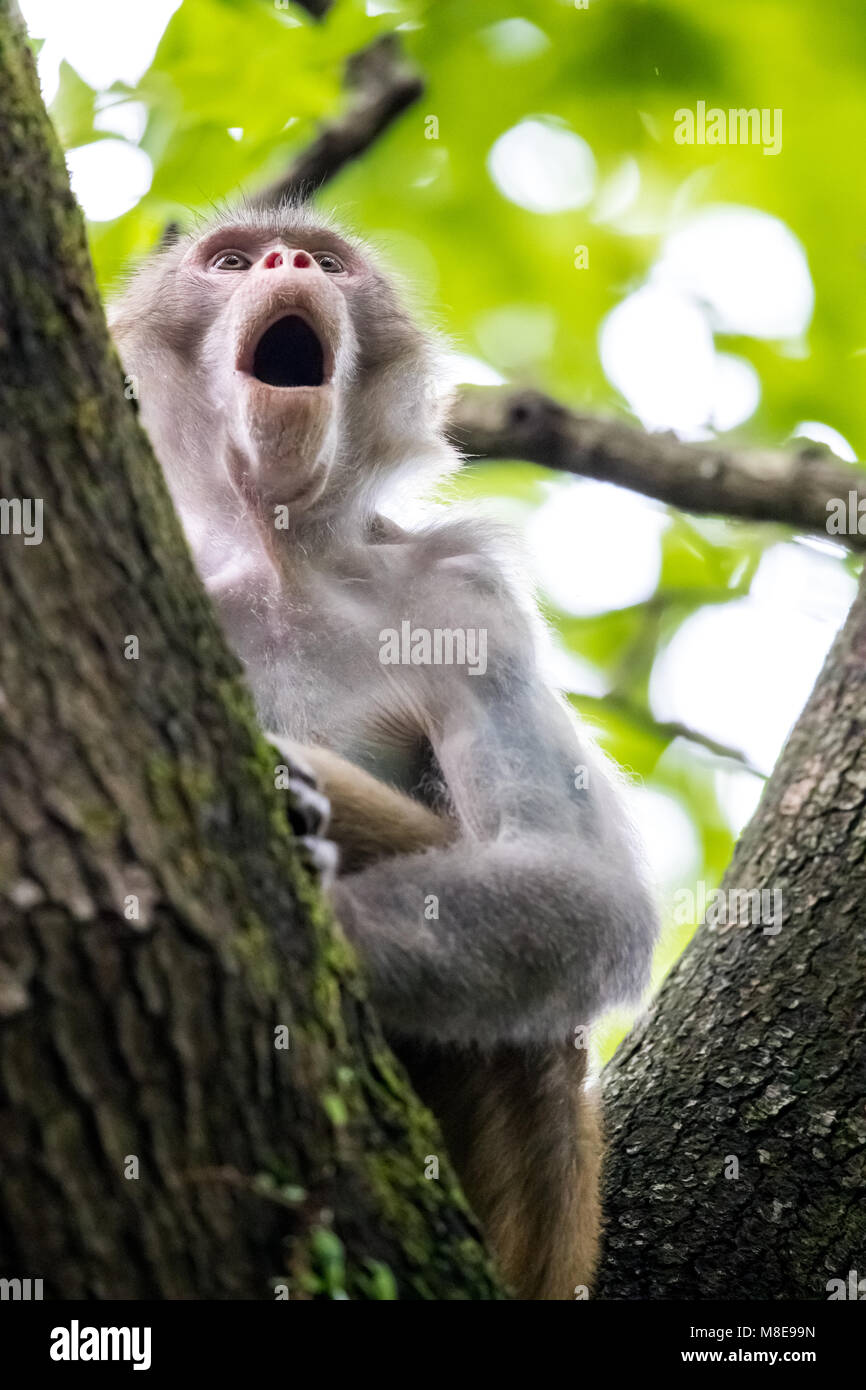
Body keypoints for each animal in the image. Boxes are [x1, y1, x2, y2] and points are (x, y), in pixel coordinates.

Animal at [111, 205, 661, 1301]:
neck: (281, 557)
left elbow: (585, 884)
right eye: (230, 262)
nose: (287, 262)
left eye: (325, 264)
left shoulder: (464, 601)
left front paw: (330, 922)